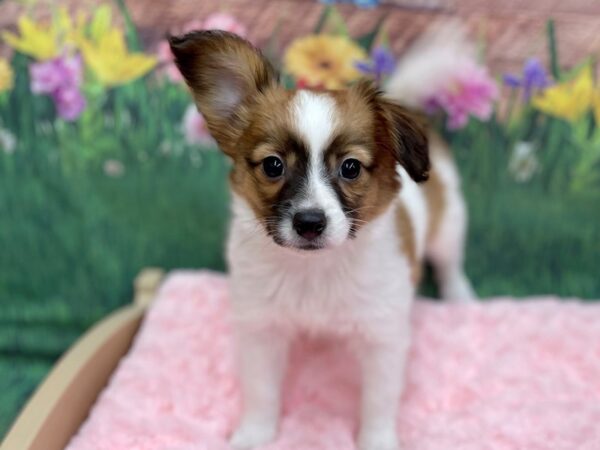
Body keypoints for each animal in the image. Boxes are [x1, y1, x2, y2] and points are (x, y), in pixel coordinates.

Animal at [169, 31, 474, 450]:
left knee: (449, 263)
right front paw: (254, 435)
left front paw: (377, 442)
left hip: (450, 226)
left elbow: (378, 402)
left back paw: (460, 295)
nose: (310, 222)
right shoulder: (261, 330)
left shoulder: (383, 338)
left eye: (351, 167)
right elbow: (261, 392)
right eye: (273, 165)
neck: (314, 270)